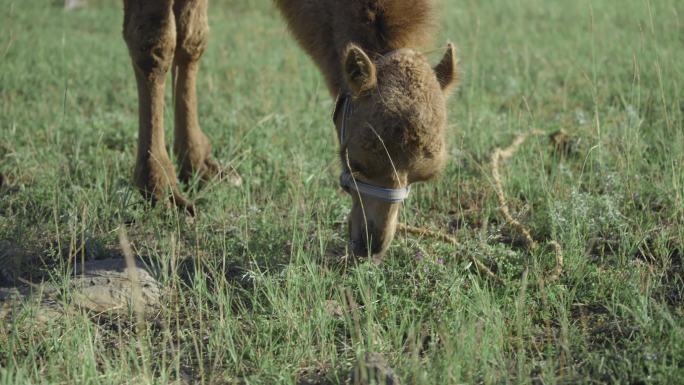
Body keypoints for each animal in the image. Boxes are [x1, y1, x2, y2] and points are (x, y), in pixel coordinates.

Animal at [123, 0, 460, 258]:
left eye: (422, 176)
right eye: (355, 161)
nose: (372, 243)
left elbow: (192, 38)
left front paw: (199, 164)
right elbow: (153, 42)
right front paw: (159, 188)